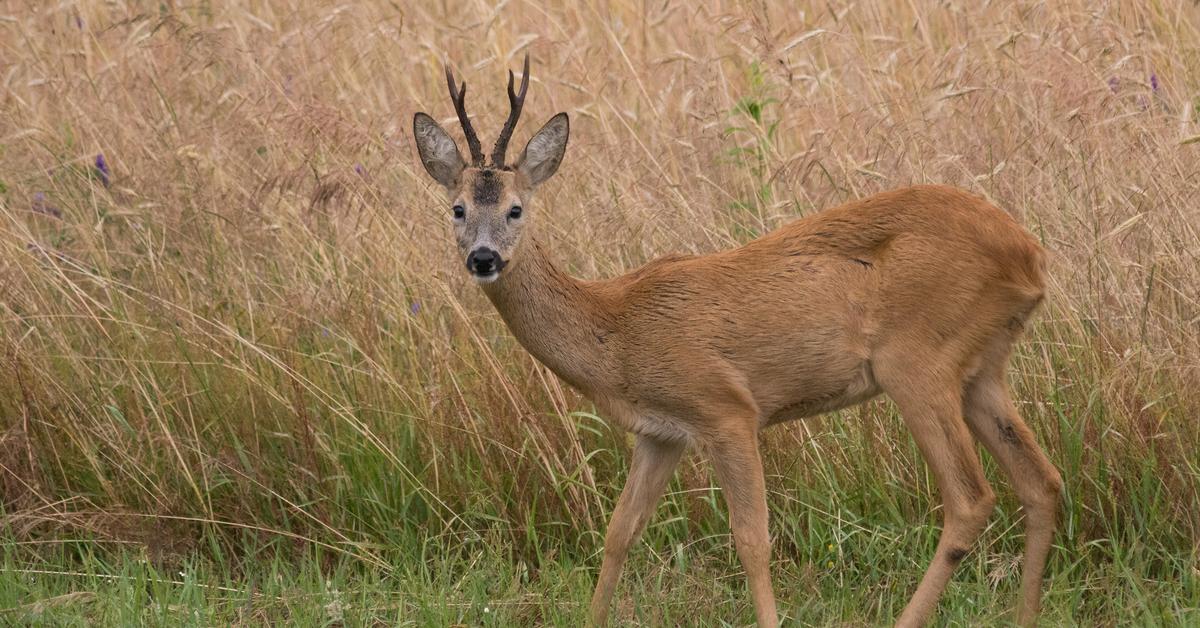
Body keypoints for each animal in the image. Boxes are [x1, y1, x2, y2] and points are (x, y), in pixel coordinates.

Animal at [410, 56, 1060, 624]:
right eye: (457, 208)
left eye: (516, 209)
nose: (484, 258)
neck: (615, 330)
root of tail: (1030, 255)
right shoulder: (660, 433)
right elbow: (621, 532)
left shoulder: (726, 408)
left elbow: (751, 539)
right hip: (981, 368)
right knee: (1042, 481)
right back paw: (1026, 617)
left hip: (917, 361)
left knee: (971, 498)